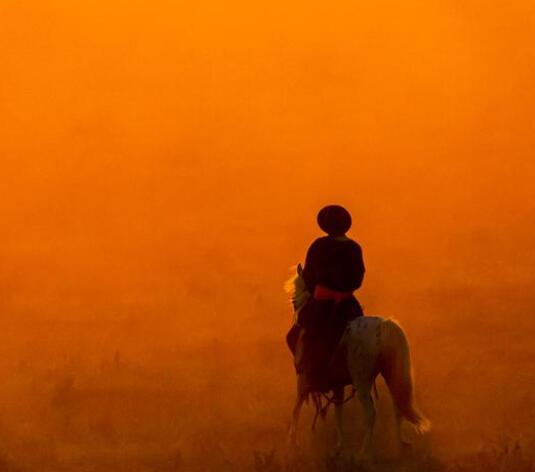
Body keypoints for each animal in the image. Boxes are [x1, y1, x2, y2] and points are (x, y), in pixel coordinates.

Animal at [284, 266, 432, 460]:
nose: (294, 305)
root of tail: (384, 327)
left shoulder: (303, 378)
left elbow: (296, 408)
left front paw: (292, 444)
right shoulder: (337, 385)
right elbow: (338, 412)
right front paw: (339, 446)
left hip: (361, 381)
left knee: (371, 414)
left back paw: (363, 453)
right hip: (390, 375)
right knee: (398, 407)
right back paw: (400, 446)